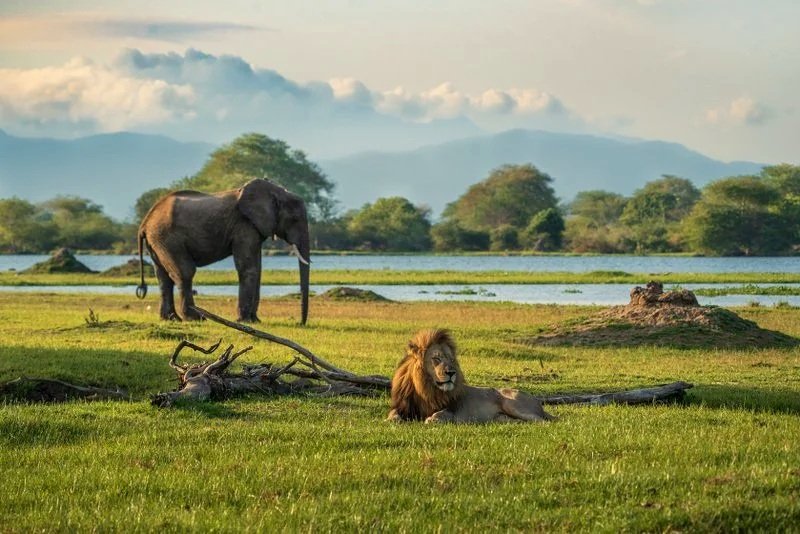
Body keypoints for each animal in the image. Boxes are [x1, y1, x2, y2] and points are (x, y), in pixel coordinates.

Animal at [135, 179, 310, 324]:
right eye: (294, 219)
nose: (299, 323)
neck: (276, 190)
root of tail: (144, 223)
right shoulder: (244, 225)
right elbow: (248, 268)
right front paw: (245, 321)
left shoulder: (254, 228)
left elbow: (258, 269)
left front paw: (255, 321)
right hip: (167, 238)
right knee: (185, 272)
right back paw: (196, 318)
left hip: (157, 241)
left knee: (163, 277)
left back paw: (171, 319)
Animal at [386, 329, 555, 423]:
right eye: (437, 359)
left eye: (451, 360)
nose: (451, 373)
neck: (426, 389)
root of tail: (537, 401)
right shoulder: (404, 407)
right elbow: (393, 413)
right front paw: (391, 420)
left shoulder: (453, 411)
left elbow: (441, 413)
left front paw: (432, 419)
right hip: (503, 417)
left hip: (512, 403)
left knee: (544, 421)